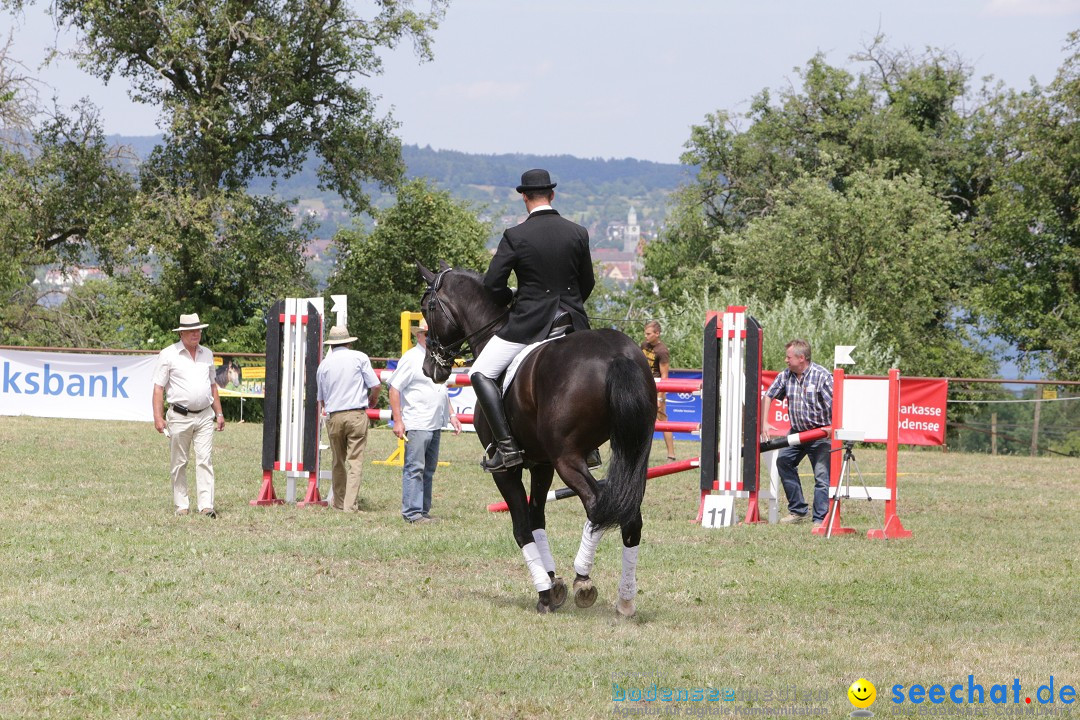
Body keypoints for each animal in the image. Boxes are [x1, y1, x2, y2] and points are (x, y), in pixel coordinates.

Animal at [414, 263, 652, 613]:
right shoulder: (542, 464)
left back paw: (583, 578)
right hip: (634, 454)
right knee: (629, 515)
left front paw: (545, 592)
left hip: (568, 459)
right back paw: (625, 599)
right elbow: (537, 518)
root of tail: (616, 355)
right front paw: (553, 581)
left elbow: (522, 526)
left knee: (598, 505)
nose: (431, 367)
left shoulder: (507, 469)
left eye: (427, 307)